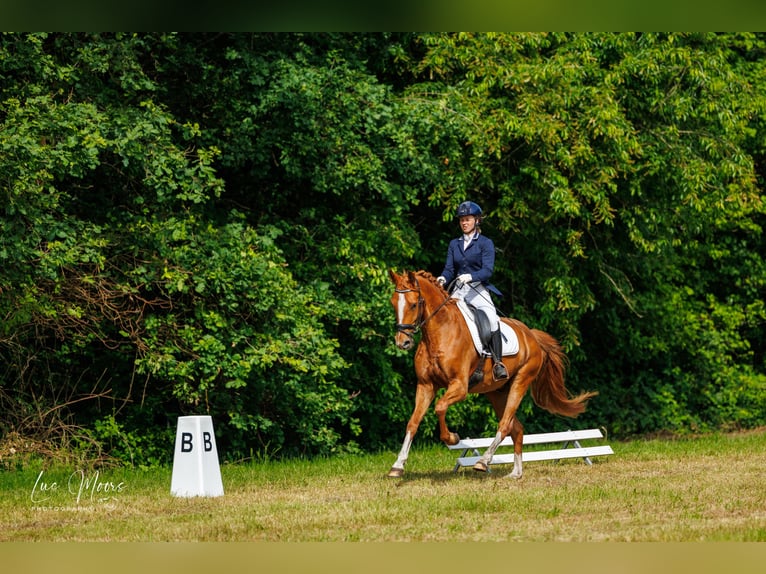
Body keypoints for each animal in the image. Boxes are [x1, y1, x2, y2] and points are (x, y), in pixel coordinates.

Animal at [387, 269, 597, 480]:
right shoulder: (426, 385)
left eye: (414, 304)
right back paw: (515, 473)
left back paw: (483, 461)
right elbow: (413, 422)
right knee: (516, 429)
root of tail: (530, 335)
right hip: (496, 392)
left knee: (505, 425)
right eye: (393, 302)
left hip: (520, 381)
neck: (439, 333)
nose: (402, 342)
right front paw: (397, 465)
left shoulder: (459, 386)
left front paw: (452, 438)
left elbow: (439, 407)